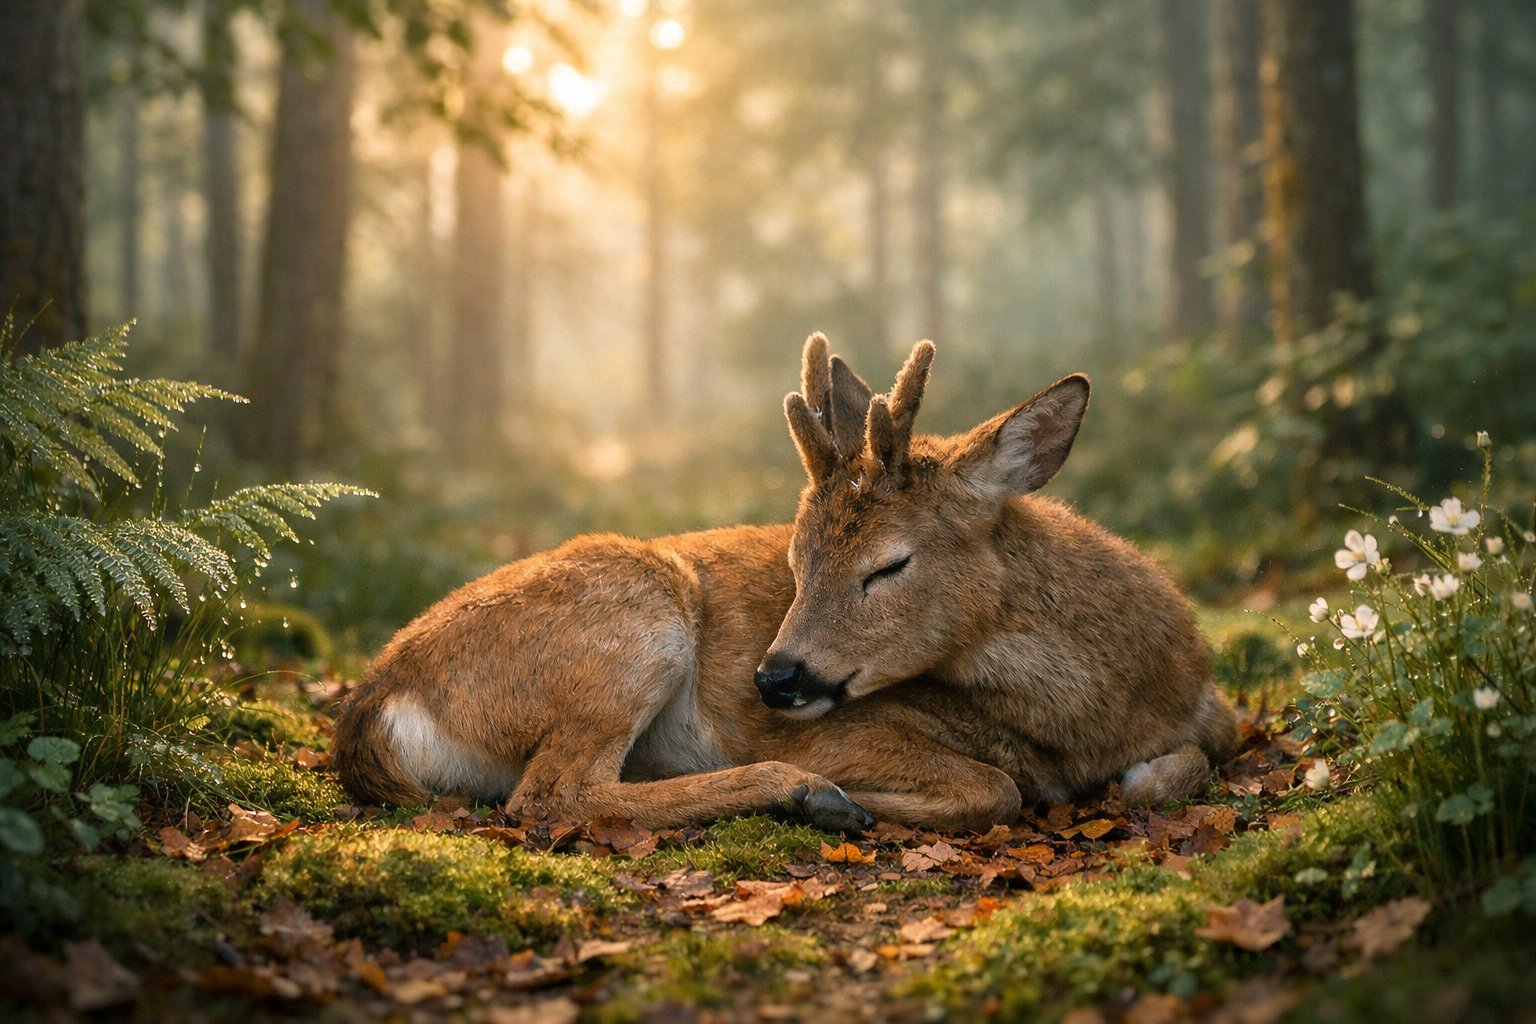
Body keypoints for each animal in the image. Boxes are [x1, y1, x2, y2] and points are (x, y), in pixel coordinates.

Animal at [331, 335, 1237, 832]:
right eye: (797, 562)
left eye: (890, 563)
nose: (774, 678)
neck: (1099, 707)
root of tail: (380, 698)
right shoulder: (845, 727)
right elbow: (997, 787)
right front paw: (858, 796)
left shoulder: (1210, 706)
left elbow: (1204, 753)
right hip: (635, 616)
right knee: (554, 796)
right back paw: (802, 795)